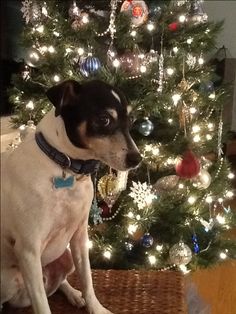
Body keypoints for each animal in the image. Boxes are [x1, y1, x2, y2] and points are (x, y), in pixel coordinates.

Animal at [0, 80, 141, 314]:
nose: (137, 159)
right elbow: (42, 305)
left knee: (61, 283)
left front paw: (95, 307)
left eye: (130, 120)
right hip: (10, 279)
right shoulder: (28, 250)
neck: (64, 168)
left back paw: (74, 295)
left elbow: (87, 279)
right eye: (104, 119)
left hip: (64, 256)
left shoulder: (80, 236)